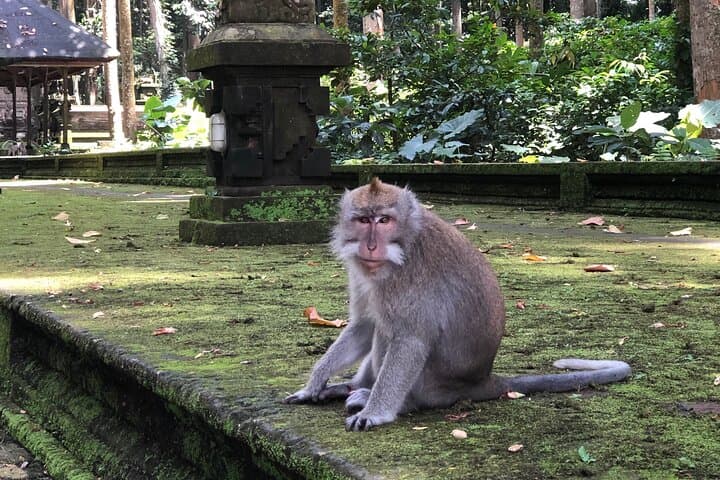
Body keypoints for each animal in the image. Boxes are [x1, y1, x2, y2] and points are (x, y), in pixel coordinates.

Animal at [284, 178, 631, 431]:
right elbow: (363, 325)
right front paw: (314, 383)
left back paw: (389, 400)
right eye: (363, 220)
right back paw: (350, 387)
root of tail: (481, 380)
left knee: (394, 334)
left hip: (432, 385)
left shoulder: (411, 278)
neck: (403, 246)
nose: (370, 246)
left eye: (384, 220)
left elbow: (410, 340)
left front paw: (376, 413)